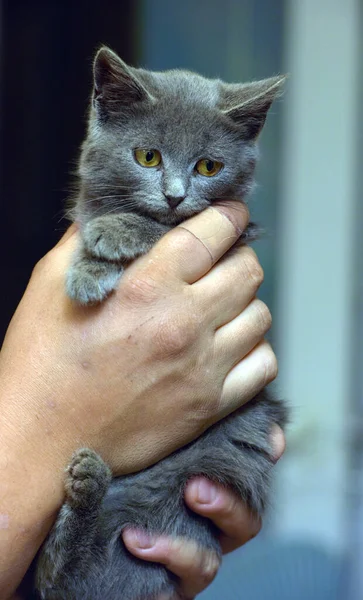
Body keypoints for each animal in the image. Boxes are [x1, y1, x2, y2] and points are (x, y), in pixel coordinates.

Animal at [32, 48, 288, 600]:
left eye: (209, 166)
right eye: (147, 157)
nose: (174, 195)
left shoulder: (236, 234)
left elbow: (165, 230)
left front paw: (111, 238)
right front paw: (89, 265)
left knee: (71, 575)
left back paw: (88, 486)